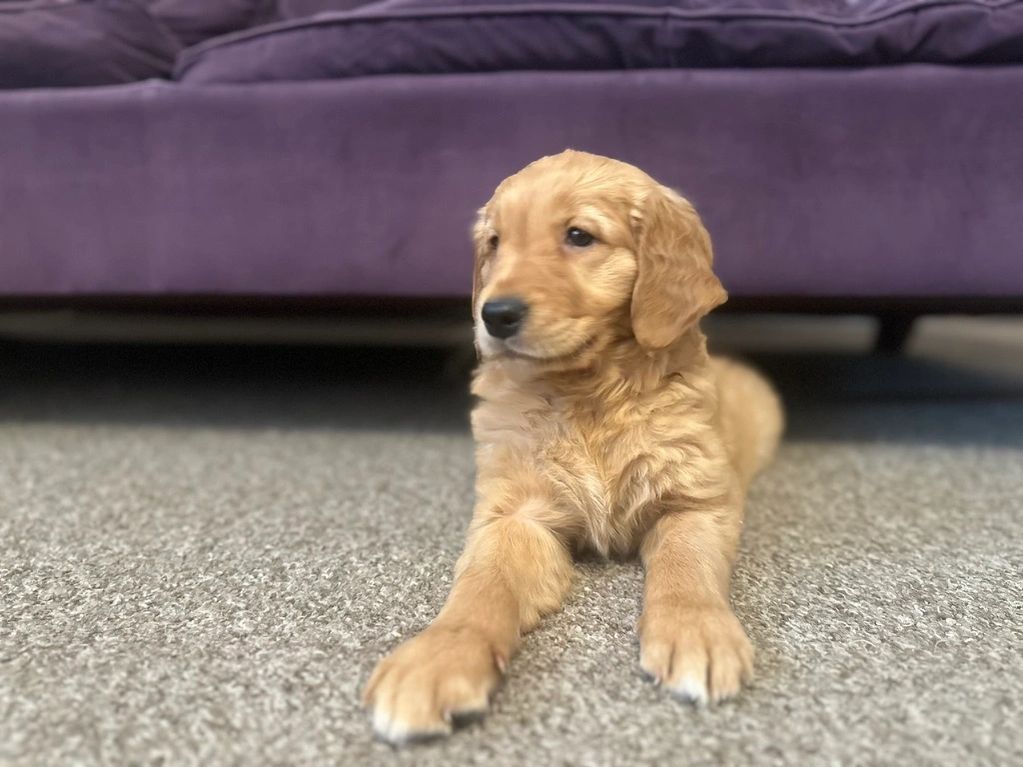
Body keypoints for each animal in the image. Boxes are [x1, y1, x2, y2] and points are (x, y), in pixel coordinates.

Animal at [366, 147, 781, 740]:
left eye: (579, 236)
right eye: (495, 244)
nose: (494, 314)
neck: (589, 394)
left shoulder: (696, 502)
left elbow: (687, 566)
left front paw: (697, 632)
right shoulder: (513, 515)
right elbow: (480, 587)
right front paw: (436, 659)